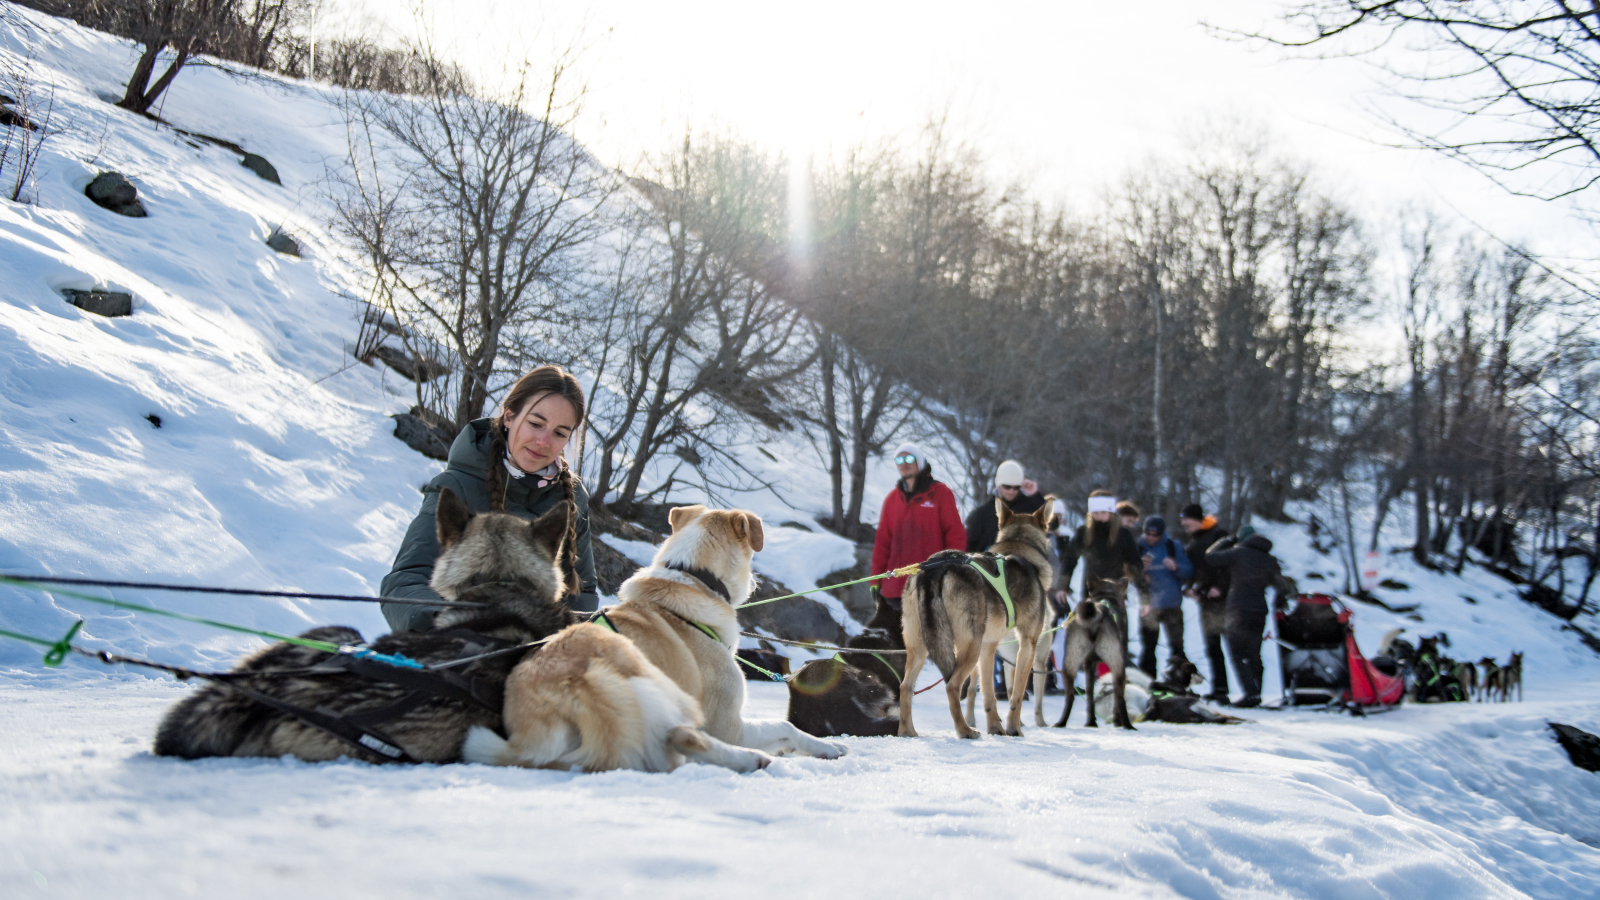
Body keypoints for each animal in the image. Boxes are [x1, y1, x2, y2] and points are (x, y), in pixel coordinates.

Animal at [464, 499, 851, 768]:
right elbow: (786, 727)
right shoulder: (727, 725)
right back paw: (751, 759)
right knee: (682, 741)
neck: (692, 576)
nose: (757, 583)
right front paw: (827, 745)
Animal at [896, 496, 1056, 736]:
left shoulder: (989, 647)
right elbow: (1016, 696)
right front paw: (1013, 729)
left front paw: (996, 728)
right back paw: (965, 730)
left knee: (905, 686)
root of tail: (935, 567)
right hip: (970, 644)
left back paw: (908, 732)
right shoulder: (1027, 644)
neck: (1019, 547)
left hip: (921, 646)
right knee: (952, 685)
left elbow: (989, 696)